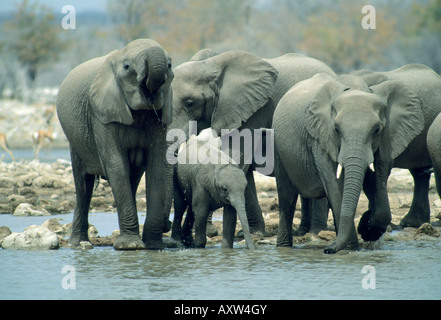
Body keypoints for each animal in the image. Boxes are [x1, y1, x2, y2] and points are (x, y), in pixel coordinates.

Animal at [57, 38, 174, 250]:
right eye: (127, 67)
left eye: (169, 66)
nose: (166, 225)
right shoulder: (102, 114)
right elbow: (116, 165)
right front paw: (130, 246)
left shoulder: (160, 117)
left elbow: (156, 166)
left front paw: (153, 247)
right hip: (76, 140)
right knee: (83, 186)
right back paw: (79, 243)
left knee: (132, 180)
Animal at [170, 50, 336, 235]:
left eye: (190, 103)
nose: (212, 232)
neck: (210, 64)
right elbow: (243, 170)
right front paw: (252, 233)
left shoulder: (253, 111)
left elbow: (238, 159)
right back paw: (302, 231)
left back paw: (316, 232)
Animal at [272, 72, 422, 252]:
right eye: (336, 129)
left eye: (376, 130)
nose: (327, 250)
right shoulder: (320, 138)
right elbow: (336, 188)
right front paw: (351, 248)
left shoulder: (387, 139)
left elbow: (376, 182)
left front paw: (366, 227)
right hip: (279, 149)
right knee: (286, 197)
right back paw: (284, 248)